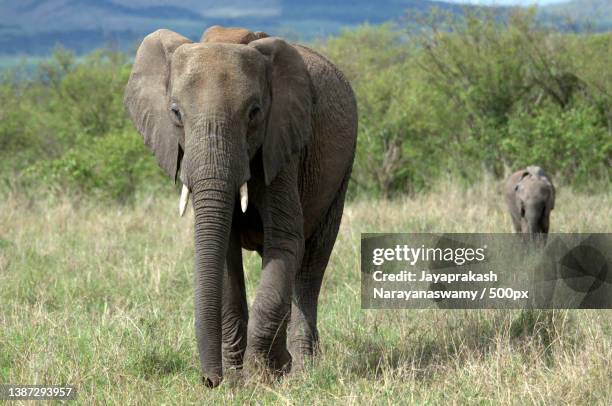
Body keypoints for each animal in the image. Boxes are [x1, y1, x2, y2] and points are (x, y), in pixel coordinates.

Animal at [124, 26, 358, 386]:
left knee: (311, 263)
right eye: (175, 113)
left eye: (254, 112)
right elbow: (225, 258)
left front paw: (259, 380)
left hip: (340, 172)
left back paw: (303, 369)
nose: (209, 381)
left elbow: (286, 243)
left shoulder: (282, 145)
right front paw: (237, 380)